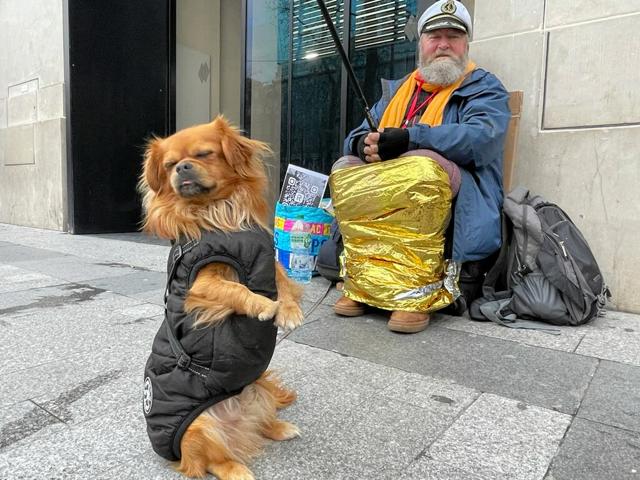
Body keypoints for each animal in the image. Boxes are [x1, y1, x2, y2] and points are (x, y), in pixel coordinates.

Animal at [139, 114, 302, 478]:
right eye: (169, 164)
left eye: (203, 154)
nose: (181, 167)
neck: (218, 211)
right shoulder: (199, 285)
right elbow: (236, 288)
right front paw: (263, 306)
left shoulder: (269, 262)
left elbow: (285, 282)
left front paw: (289, 310)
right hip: (198, 428)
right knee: (213, 461)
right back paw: (237, 469)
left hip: (258, 389)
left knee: (261, 425)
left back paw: (280, 428)